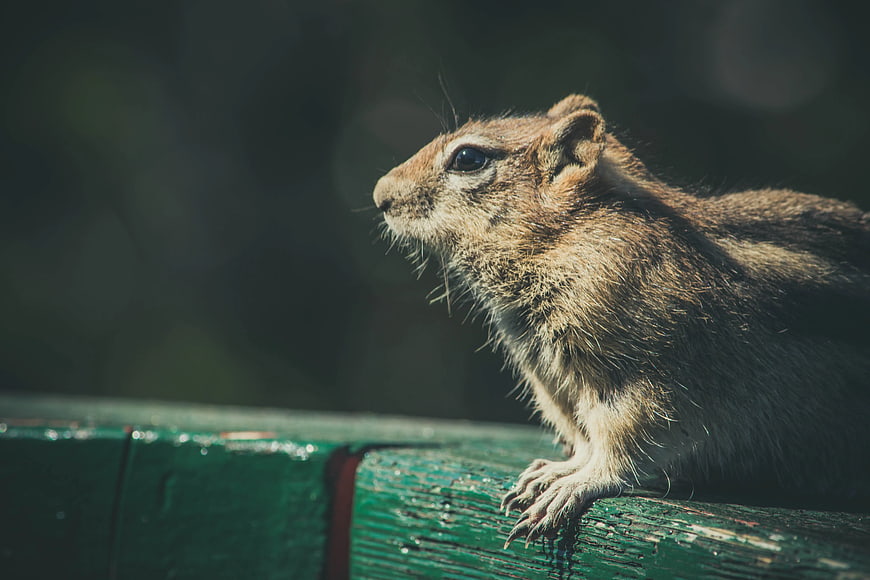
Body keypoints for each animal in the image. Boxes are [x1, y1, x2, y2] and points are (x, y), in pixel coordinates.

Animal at [372, 95, 870, 547]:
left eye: (468, 158)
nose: (380, 195)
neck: (565, 238)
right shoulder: (557, 385)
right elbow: (585, 439)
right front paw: (557, 470)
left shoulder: (645, 382)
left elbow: (623, 448)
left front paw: (576, 484)